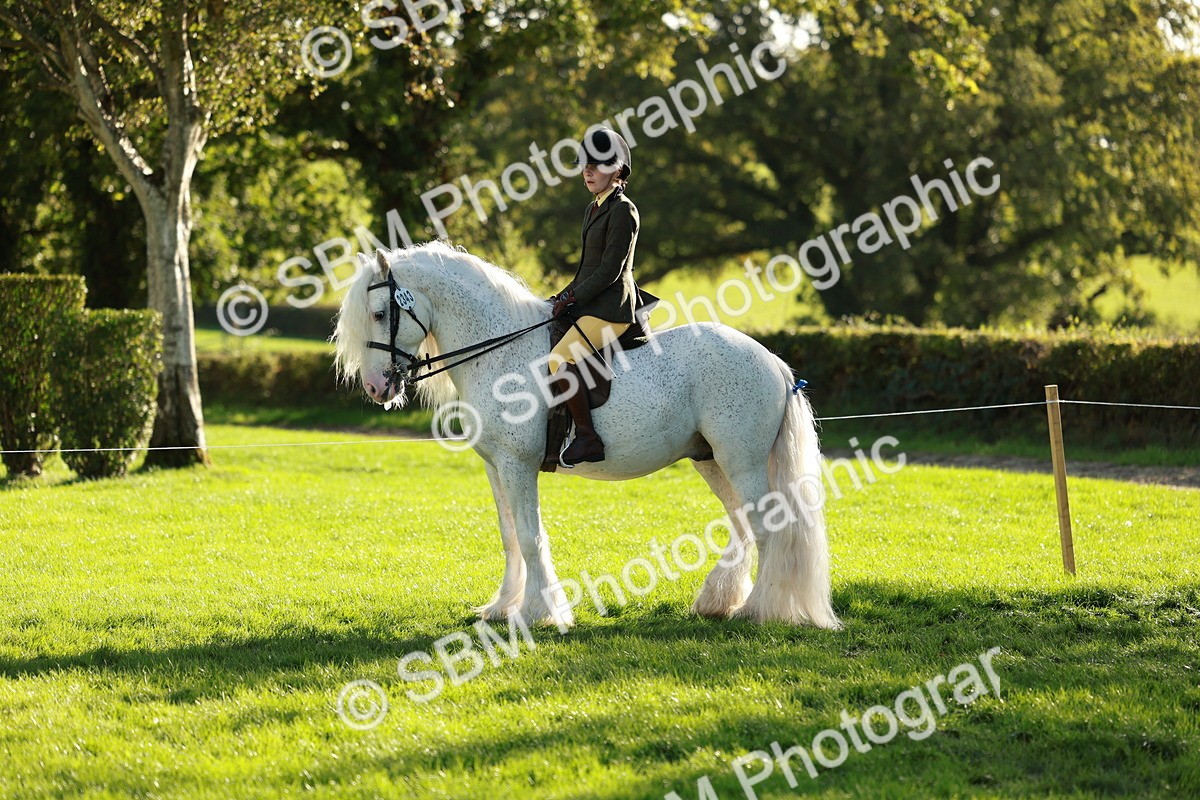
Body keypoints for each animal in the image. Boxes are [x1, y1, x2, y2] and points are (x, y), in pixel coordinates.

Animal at [333, 243, 839, 630]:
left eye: (379, 313)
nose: (376, 387)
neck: (500, 349)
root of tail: (772, 361)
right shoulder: (497, 466)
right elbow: (510, 536)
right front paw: (502, 607)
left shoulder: (517, 464)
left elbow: (531, 536)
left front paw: (538, 613)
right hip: (711, 460)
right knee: (743, 526)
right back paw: (721, 601)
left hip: (741, 461)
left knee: (768, 528)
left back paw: (757, 612)